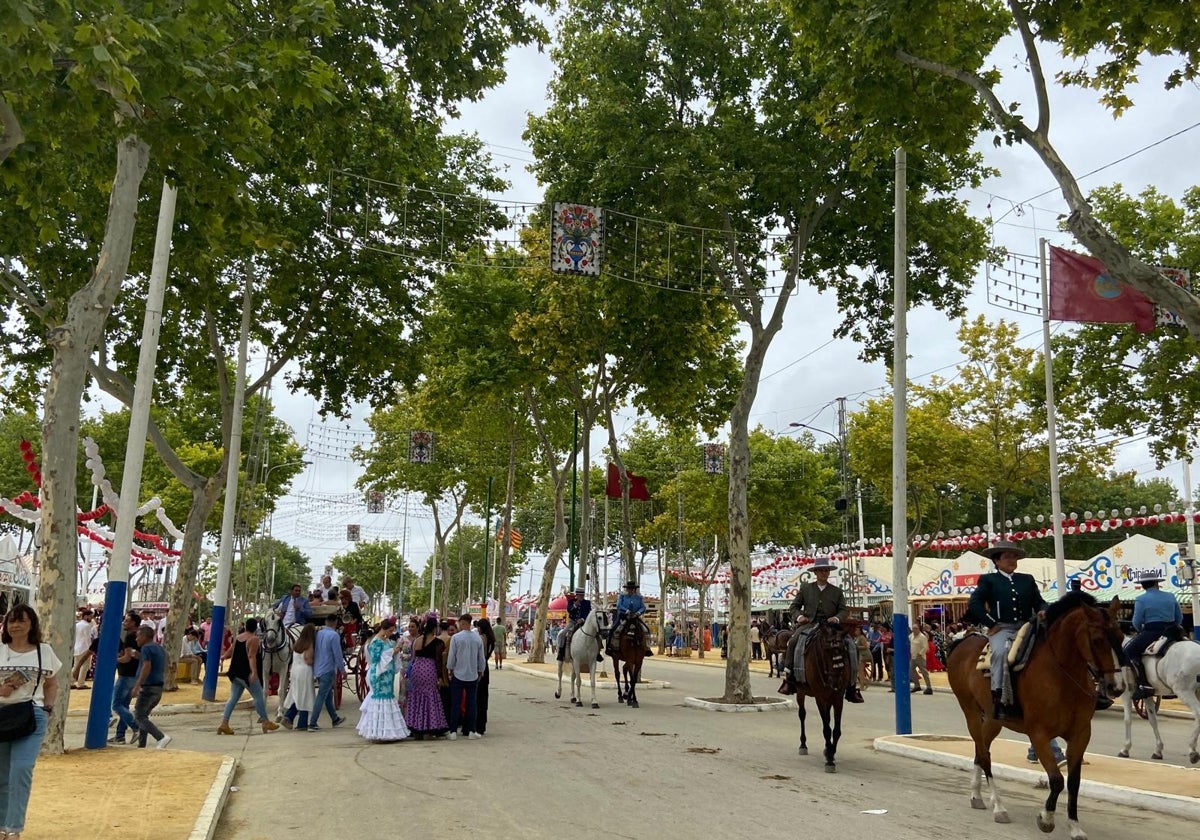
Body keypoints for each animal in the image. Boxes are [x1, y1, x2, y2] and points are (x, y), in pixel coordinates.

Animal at [792, 619, 849, 772]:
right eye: (826, 650)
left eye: (843, 650)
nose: (836, 681)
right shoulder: (820, 697)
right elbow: (826, 729)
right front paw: (829, 760)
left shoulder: (838, 697)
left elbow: (836, 729)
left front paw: (831, 752)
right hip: (800, 692)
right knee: (802, 714)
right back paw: (803, 745)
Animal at [945, 590, 1123, 840]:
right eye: (1097, 639)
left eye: (1121, 635)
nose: (1116, 687)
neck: (1063, 675)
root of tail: (964, 642)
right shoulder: (1038, 734)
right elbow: (1056, 780)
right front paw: (1046, 819)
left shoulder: (1080, 735)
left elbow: (1074, 782)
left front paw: (1075, 827)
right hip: (970, 712)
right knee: (985, 755)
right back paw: (998, 807)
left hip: (992, 720)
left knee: (981, 751)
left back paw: (977, 796)